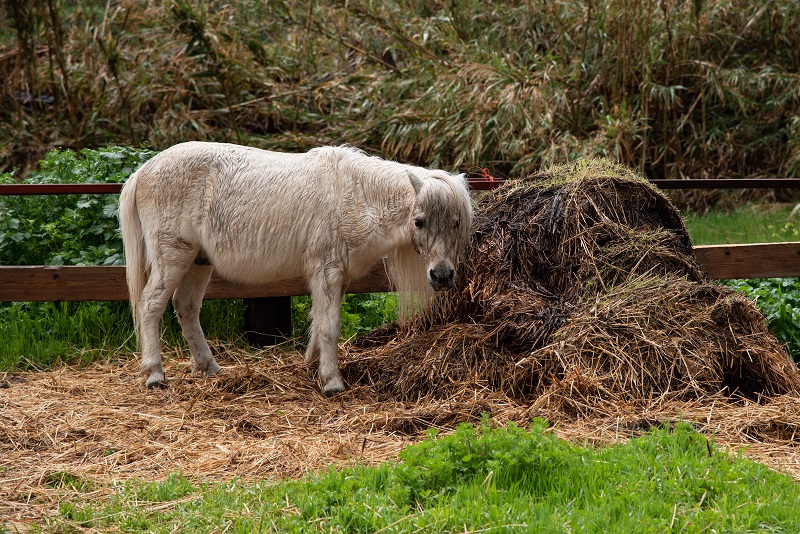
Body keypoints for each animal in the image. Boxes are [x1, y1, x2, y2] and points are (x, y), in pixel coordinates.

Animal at [119, 142, 473, 396]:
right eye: (419, 221)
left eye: (457, 223)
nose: (442, 276)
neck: (356, 195)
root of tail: (143, 171)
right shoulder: (327, 271)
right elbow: (330, 326)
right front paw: (332, 383)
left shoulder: (337, 277)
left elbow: (319, 323)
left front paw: (312, 366)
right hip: (173, 257)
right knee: (151, 306)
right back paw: (155, 375)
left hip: (197, 262)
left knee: (187, 307)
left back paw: (209, 368)